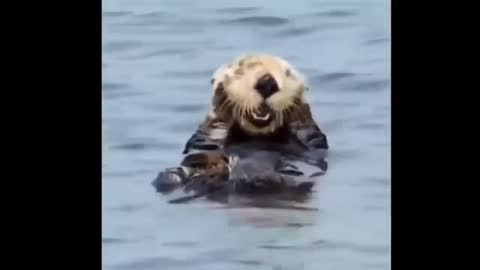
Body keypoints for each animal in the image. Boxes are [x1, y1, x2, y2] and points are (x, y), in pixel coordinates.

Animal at [152, 53, 328, 204]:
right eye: (241, 69)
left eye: (287, 73)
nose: (267, 82)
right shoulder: (209, 135)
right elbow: (208, 141)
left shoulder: (309, 136)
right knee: (172, 175)